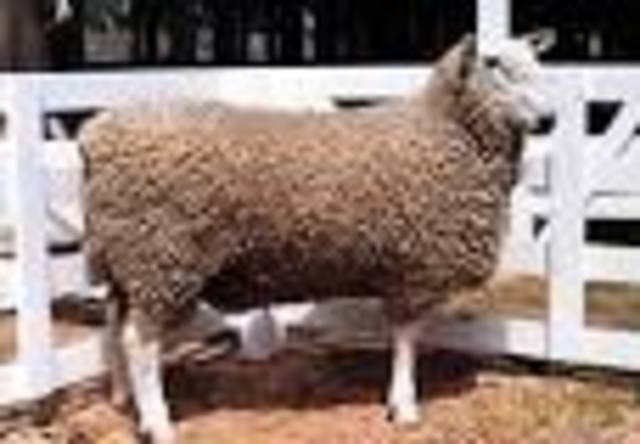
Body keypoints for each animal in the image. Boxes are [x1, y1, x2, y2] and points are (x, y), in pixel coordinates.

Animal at [79, 31, 556, 443]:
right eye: (493, 64)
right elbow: (407, 340)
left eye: (537, 62)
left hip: (126, 258)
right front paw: (404, 407)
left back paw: (122, 397)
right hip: (161, 256)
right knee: (140, 344)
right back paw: (157, 423)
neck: (444, 129)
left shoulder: (405, 268)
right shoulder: (416, 268)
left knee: (112, 322)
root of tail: (95, 135)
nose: (550, 118)